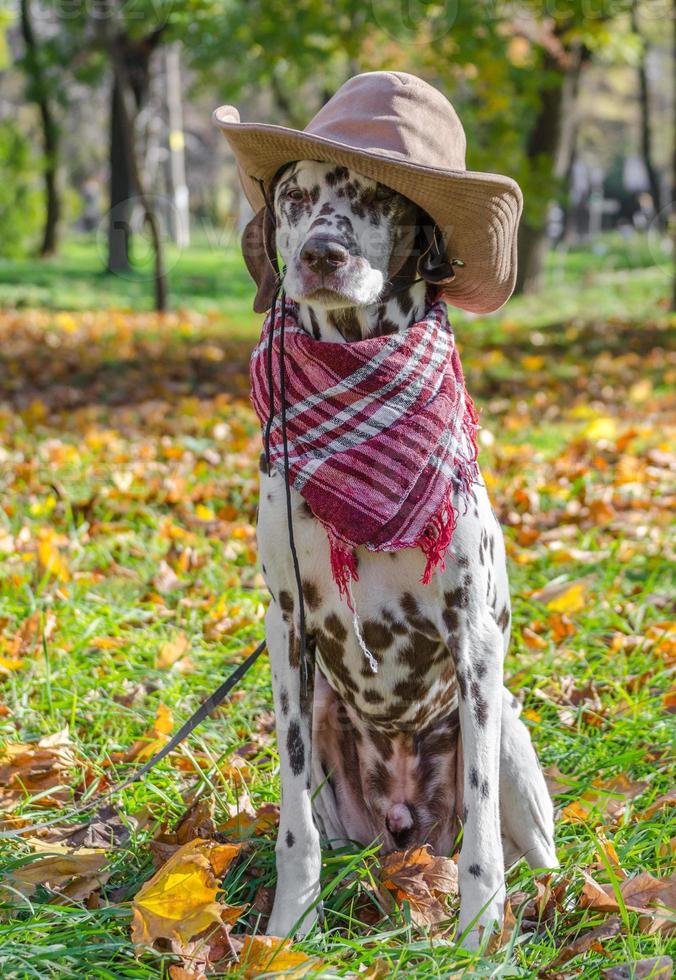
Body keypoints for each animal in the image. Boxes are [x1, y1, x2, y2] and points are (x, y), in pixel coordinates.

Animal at [251, 163, 556, 948]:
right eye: (294, 198)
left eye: (380, 197)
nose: (322, 254)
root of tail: (406, 833)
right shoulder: (288, 629)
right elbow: (294, 829)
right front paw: (290, 928)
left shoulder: (473, 638)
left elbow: (482, 832)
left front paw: (479, 937)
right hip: (327, 721)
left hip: (507, 730)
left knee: (533, 854)